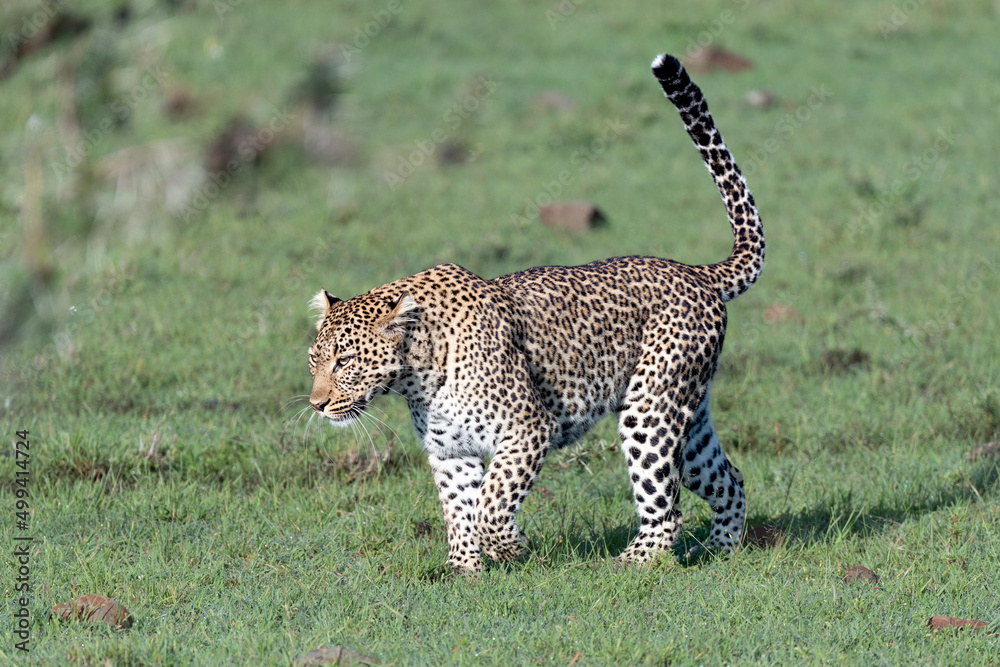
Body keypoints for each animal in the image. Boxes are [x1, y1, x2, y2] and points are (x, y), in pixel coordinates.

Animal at [307, 53, 765, 575]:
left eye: (344, 361)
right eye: (314, 362)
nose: (316, 404)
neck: (416, 376)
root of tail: (696, 271)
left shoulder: (527, 429)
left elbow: (490, 503)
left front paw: (512, 548)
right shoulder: (450, 452)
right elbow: (458, 509)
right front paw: (464, 571)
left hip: (648, 411)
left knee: (666, 508)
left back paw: (628, 564)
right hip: (685, 417)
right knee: (729, 479)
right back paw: (721, 551)